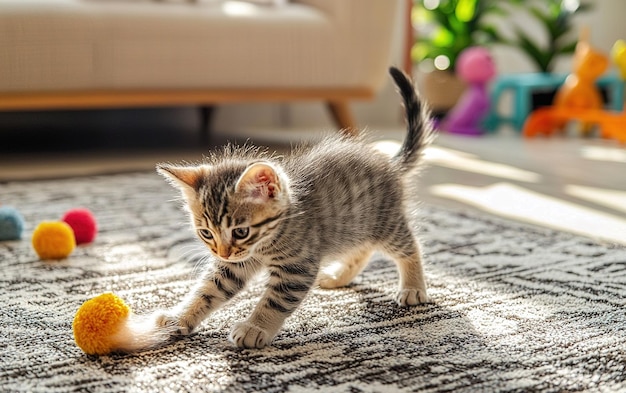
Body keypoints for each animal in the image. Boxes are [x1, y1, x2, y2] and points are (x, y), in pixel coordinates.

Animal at [117, 66, 432, 350]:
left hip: (384, 222)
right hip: (354, 225)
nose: (222, 252)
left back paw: (413, 288)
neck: (269, 238)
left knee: (410, 246)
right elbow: (207, 290)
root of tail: (388, 163)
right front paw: (179, 318)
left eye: (240, 231)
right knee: (361, 249)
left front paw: (254, 328)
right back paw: (339, 276)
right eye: (206, 233)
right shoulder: (233, 266)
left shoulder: (297, 267)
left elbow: (275, 300)